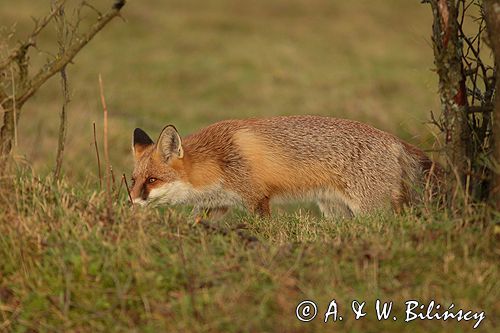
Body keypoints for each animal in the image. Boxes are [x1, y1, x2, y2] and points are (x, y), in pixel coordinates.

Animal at [130, 115, 442, 219]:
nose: (131, 201)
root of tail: (395, 141)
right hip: (336, 211)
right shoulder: (216, 205)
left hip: (370, 210)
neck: (217, 160)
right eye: (134, 180)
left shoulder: (257, 198)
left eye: (153, 180)